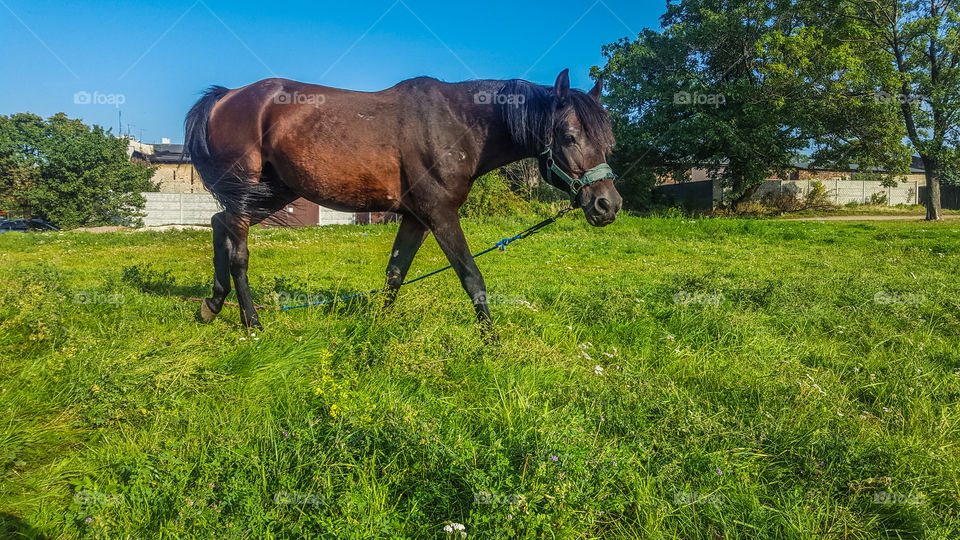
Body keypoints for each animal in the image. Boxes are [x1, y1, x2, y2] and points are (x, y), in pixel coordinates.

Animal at [184, 69, 621, 335]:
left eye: (607, 138)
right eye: (568, 135)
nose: (608, 205)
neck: (456, 123)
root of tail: (226, 97)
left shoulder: (416, 219)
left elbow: (395, 275)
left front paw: (377, 328)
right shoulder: (440, 215)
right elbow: (472, 277)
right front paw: (491, 341)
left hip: (275, 193)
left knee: (220, 224)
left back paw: (213, 304)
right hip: (252, 190)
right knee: (237, 247)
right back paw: (252, 322)